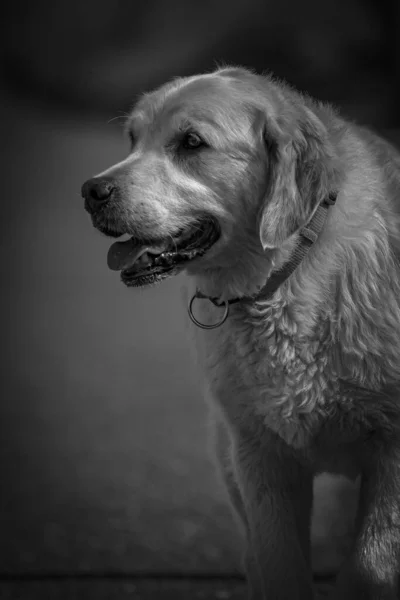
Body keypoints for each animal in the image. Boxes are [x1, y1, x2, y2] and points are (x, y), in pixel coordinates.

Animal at [79, 67, 400, 600]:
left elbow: (369, 568)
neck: (286, 278)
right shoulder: (258, 455)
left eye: (191, 142)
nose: (90, 191)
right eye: (132, 138)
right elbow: (279, 564)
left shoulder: (390, 456)